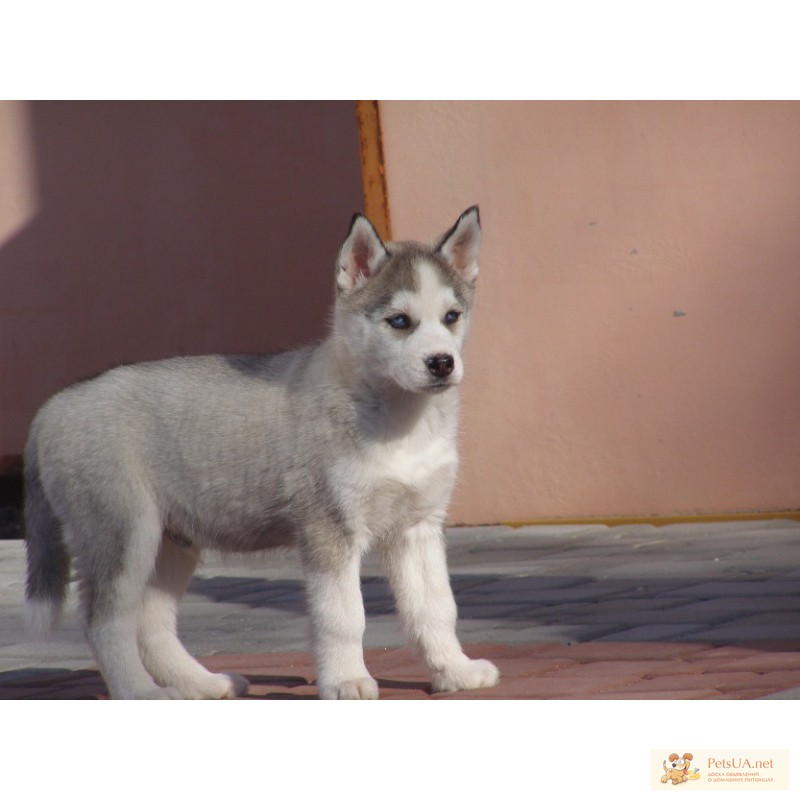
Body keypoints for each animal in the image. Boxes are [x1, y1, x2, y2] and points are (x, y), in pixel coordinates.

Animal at [23, 206, 500, 700]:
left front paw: (455, 672)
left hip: (171, 543)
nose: (442, 363)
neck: (398, 419)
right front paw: (347, 680)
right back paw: (142, 692)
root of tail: (54, 406)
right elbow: (343, 617)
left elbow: (436, 609)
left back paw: (204, 684)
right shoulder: (329, 530)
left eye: (452, 316)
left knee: (152, 626)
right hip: (123, 535)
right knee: (106, 624)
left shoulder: (418, 528)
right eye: (400, 321)